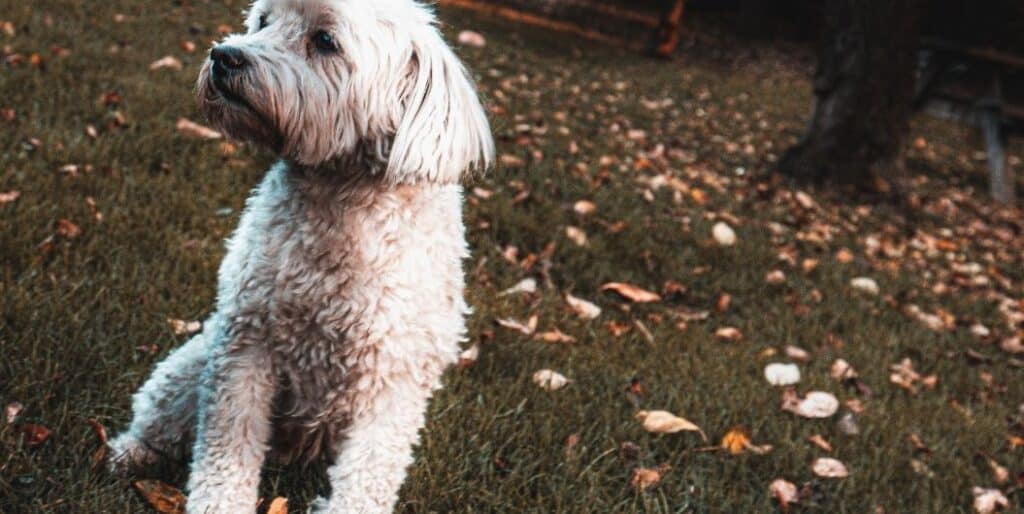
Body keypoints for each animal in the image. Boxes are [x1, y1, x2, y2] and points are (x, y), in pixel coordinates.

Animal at [109, 1, 495, 509]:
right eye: (263, 21)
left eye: (326, 41)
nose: (223, 56)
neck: (339, 202)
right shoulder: (247, 344)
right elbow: (228, 445)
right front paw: (219, 504)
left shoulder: (393, 381)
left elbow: (369, 471)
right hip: (192, 365)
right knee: (159, 412)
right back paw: (131, 453)